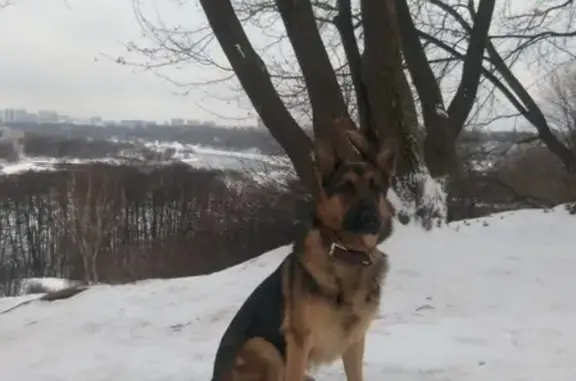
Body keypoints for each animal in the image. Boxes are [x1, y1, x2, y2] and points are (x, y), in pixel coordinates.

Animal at [210, 130, 396, 380]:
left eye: (376, 188)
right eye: (346, 187)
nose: (371, 219)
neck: (346, 253)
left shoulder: (355, 343)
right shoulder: (299, 342)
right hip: (264, 348)